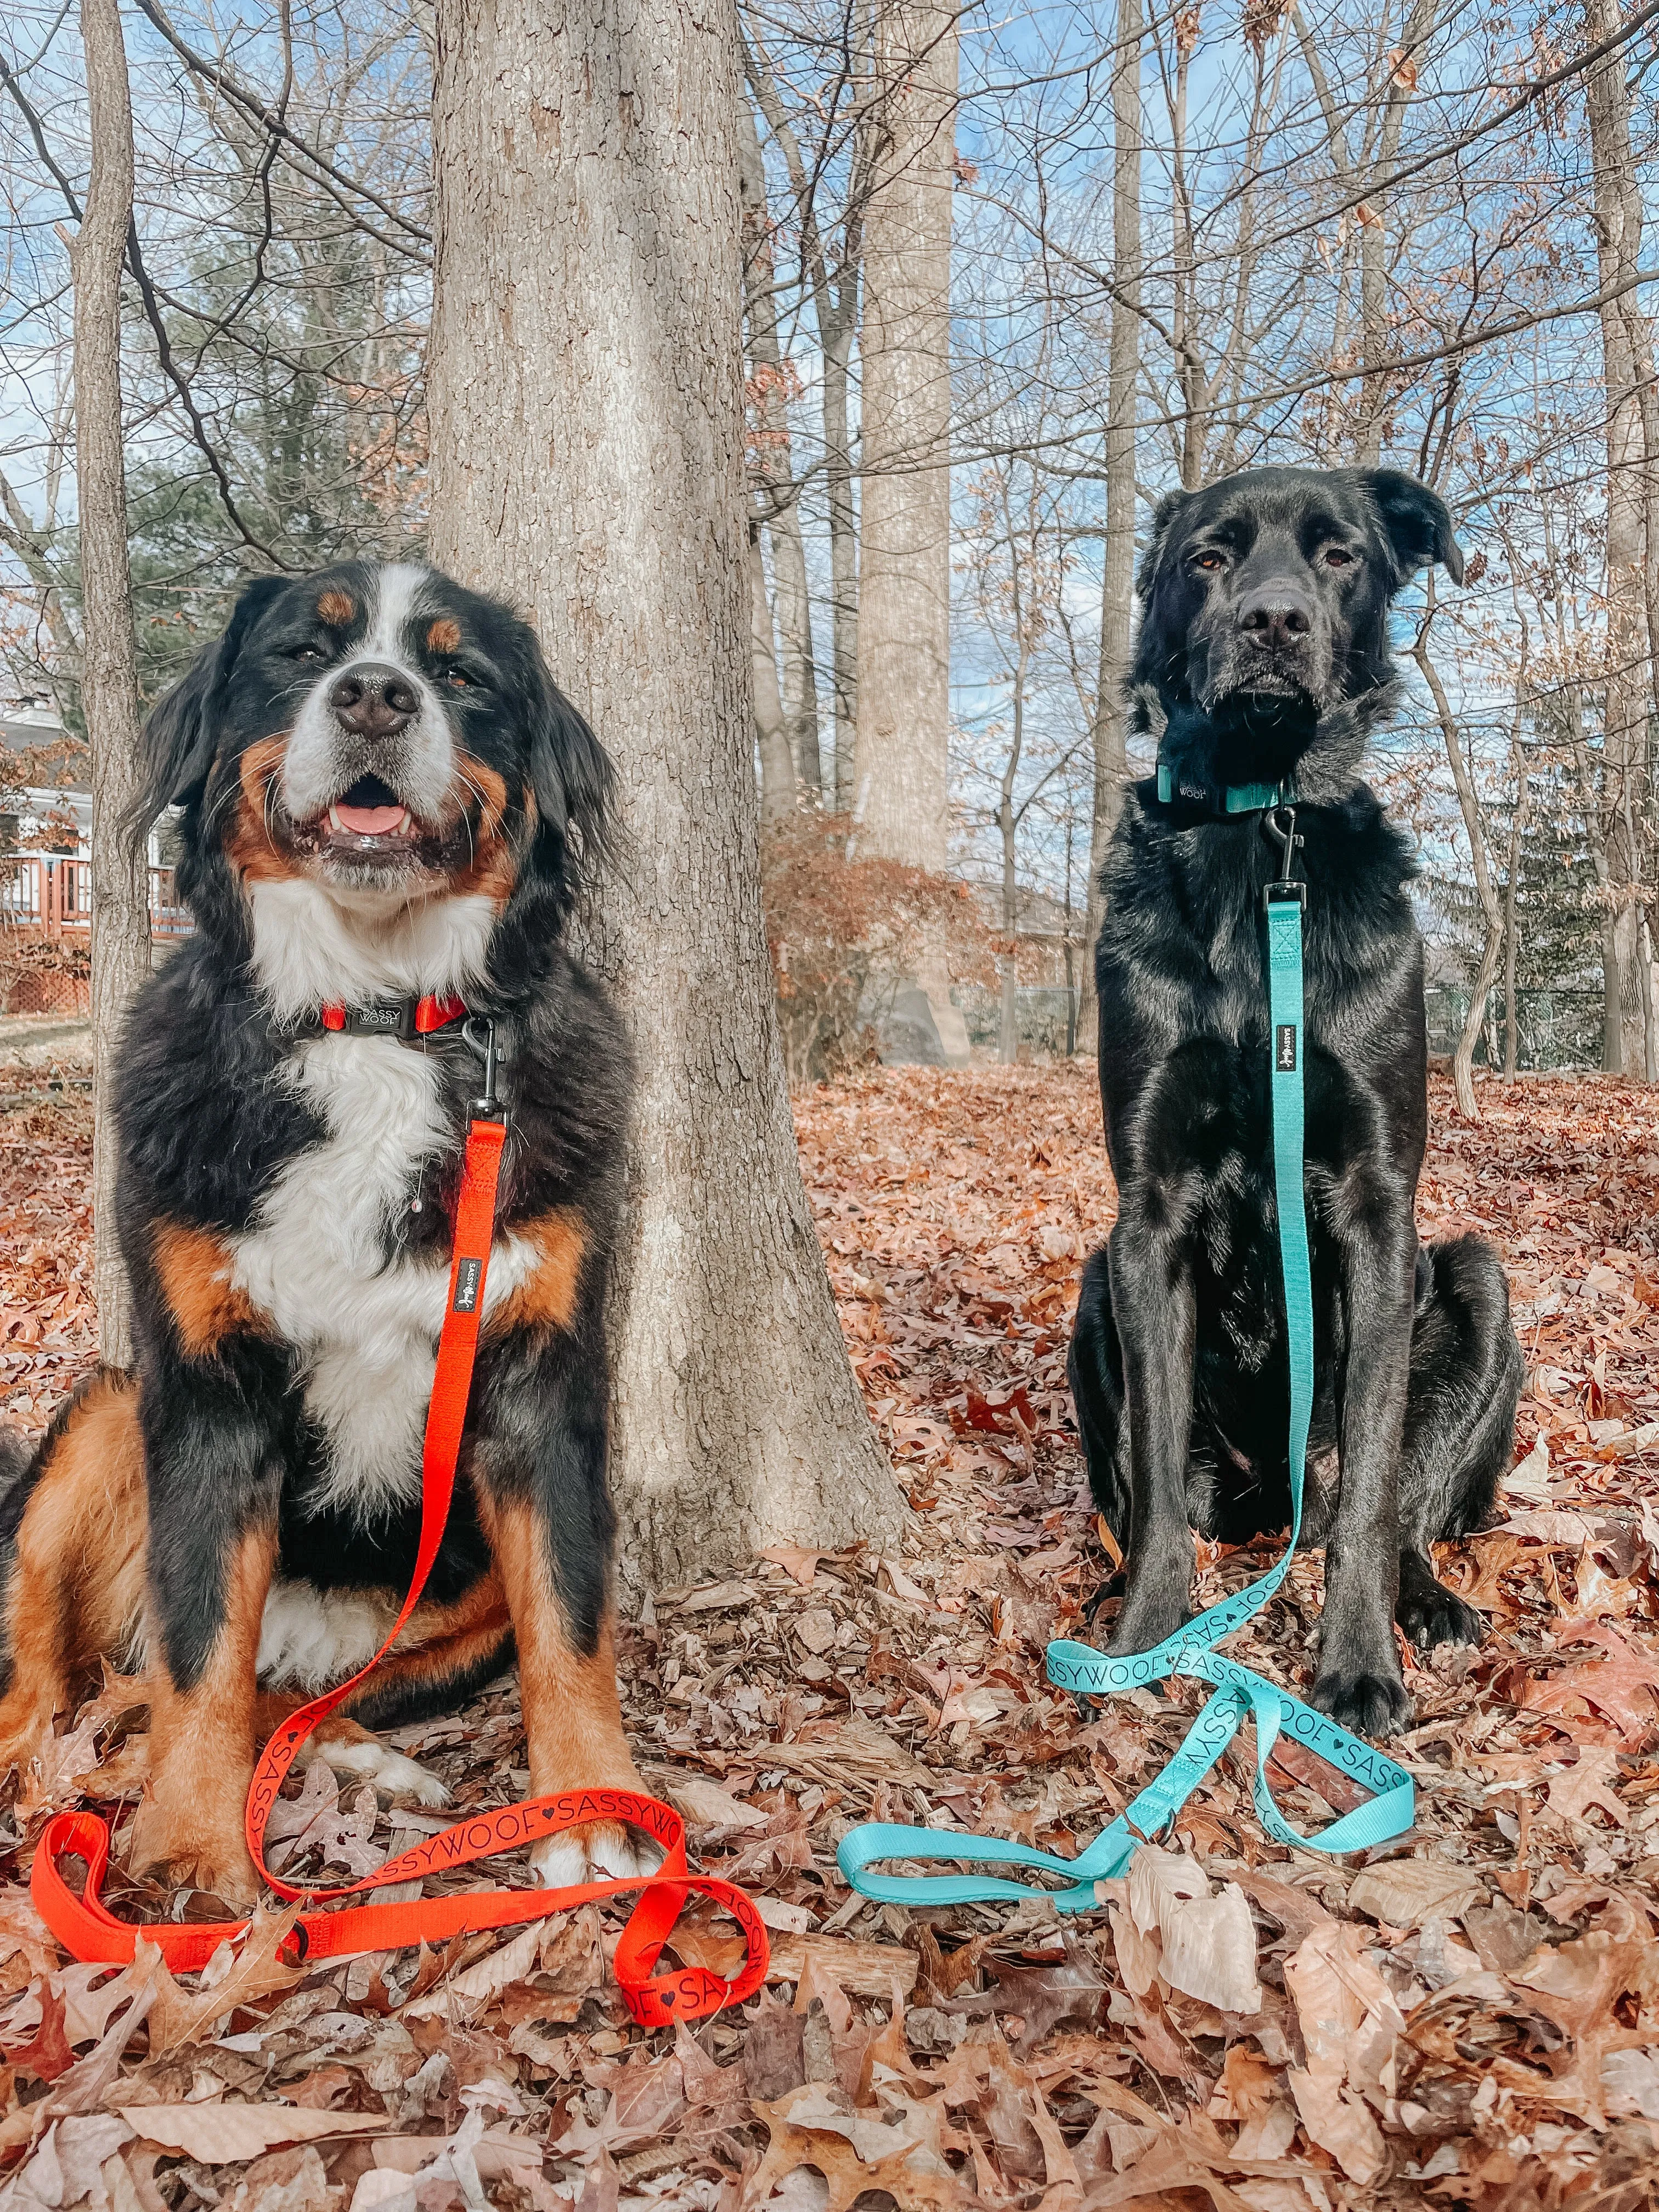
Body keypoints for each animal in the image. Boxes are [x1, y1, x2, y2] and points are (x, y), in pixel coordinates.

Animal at [0, 557, 654, 1902]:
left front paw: (589, 1805)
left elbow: (572, 1617)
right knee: (64, 1692)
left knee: (285, 1701)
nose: (375, 697)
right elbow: (199, 1646)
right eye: (308, 652)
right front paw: (193, 1847)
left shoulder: (540, 1380)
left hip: (453, 1605)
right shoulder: (204, 1385)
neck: (376, 1017)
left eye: (458, 672)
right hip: (106, 1414)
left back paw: (363, 1757)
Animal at [1070, 471, 1531, 1743]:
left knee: (1394, 1505)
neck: (1259, 837)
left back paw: (1427, 1602)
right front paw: (1144, 1642)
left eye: (1335, 556)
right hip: (1093, 1288)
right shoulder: (1147, 1215)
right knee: (1157, 1492)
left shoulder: (1377, 1210)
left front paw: (1356, 1664)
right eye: (1210, 558)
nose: (1273, 622)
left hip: (1474, 1282)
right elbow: (1155, 1477)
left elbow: (1373, 1479)